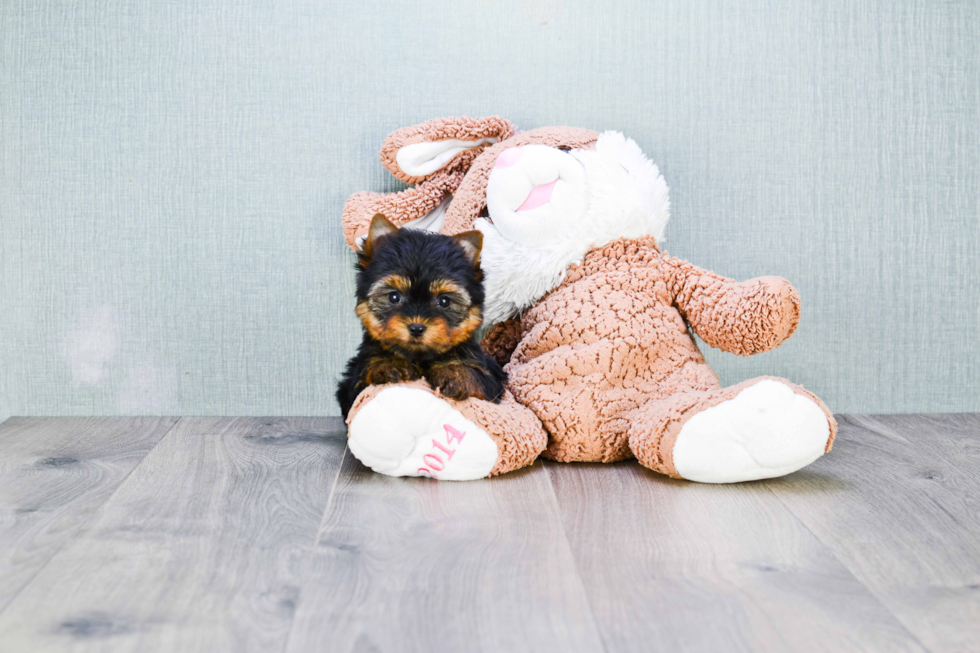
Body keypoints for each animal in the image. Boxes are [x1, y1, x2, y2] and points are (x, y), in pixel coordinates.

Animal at [334, 214, 506, 418]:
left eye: (444, 301)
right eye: (394, 297)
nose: (416, 328)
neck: (420, 357)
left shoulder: (490, 379)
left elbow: (476, 374)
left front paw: (456, 373)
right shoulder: (353, 384)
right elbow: (367, 374)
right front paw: (389, 364)